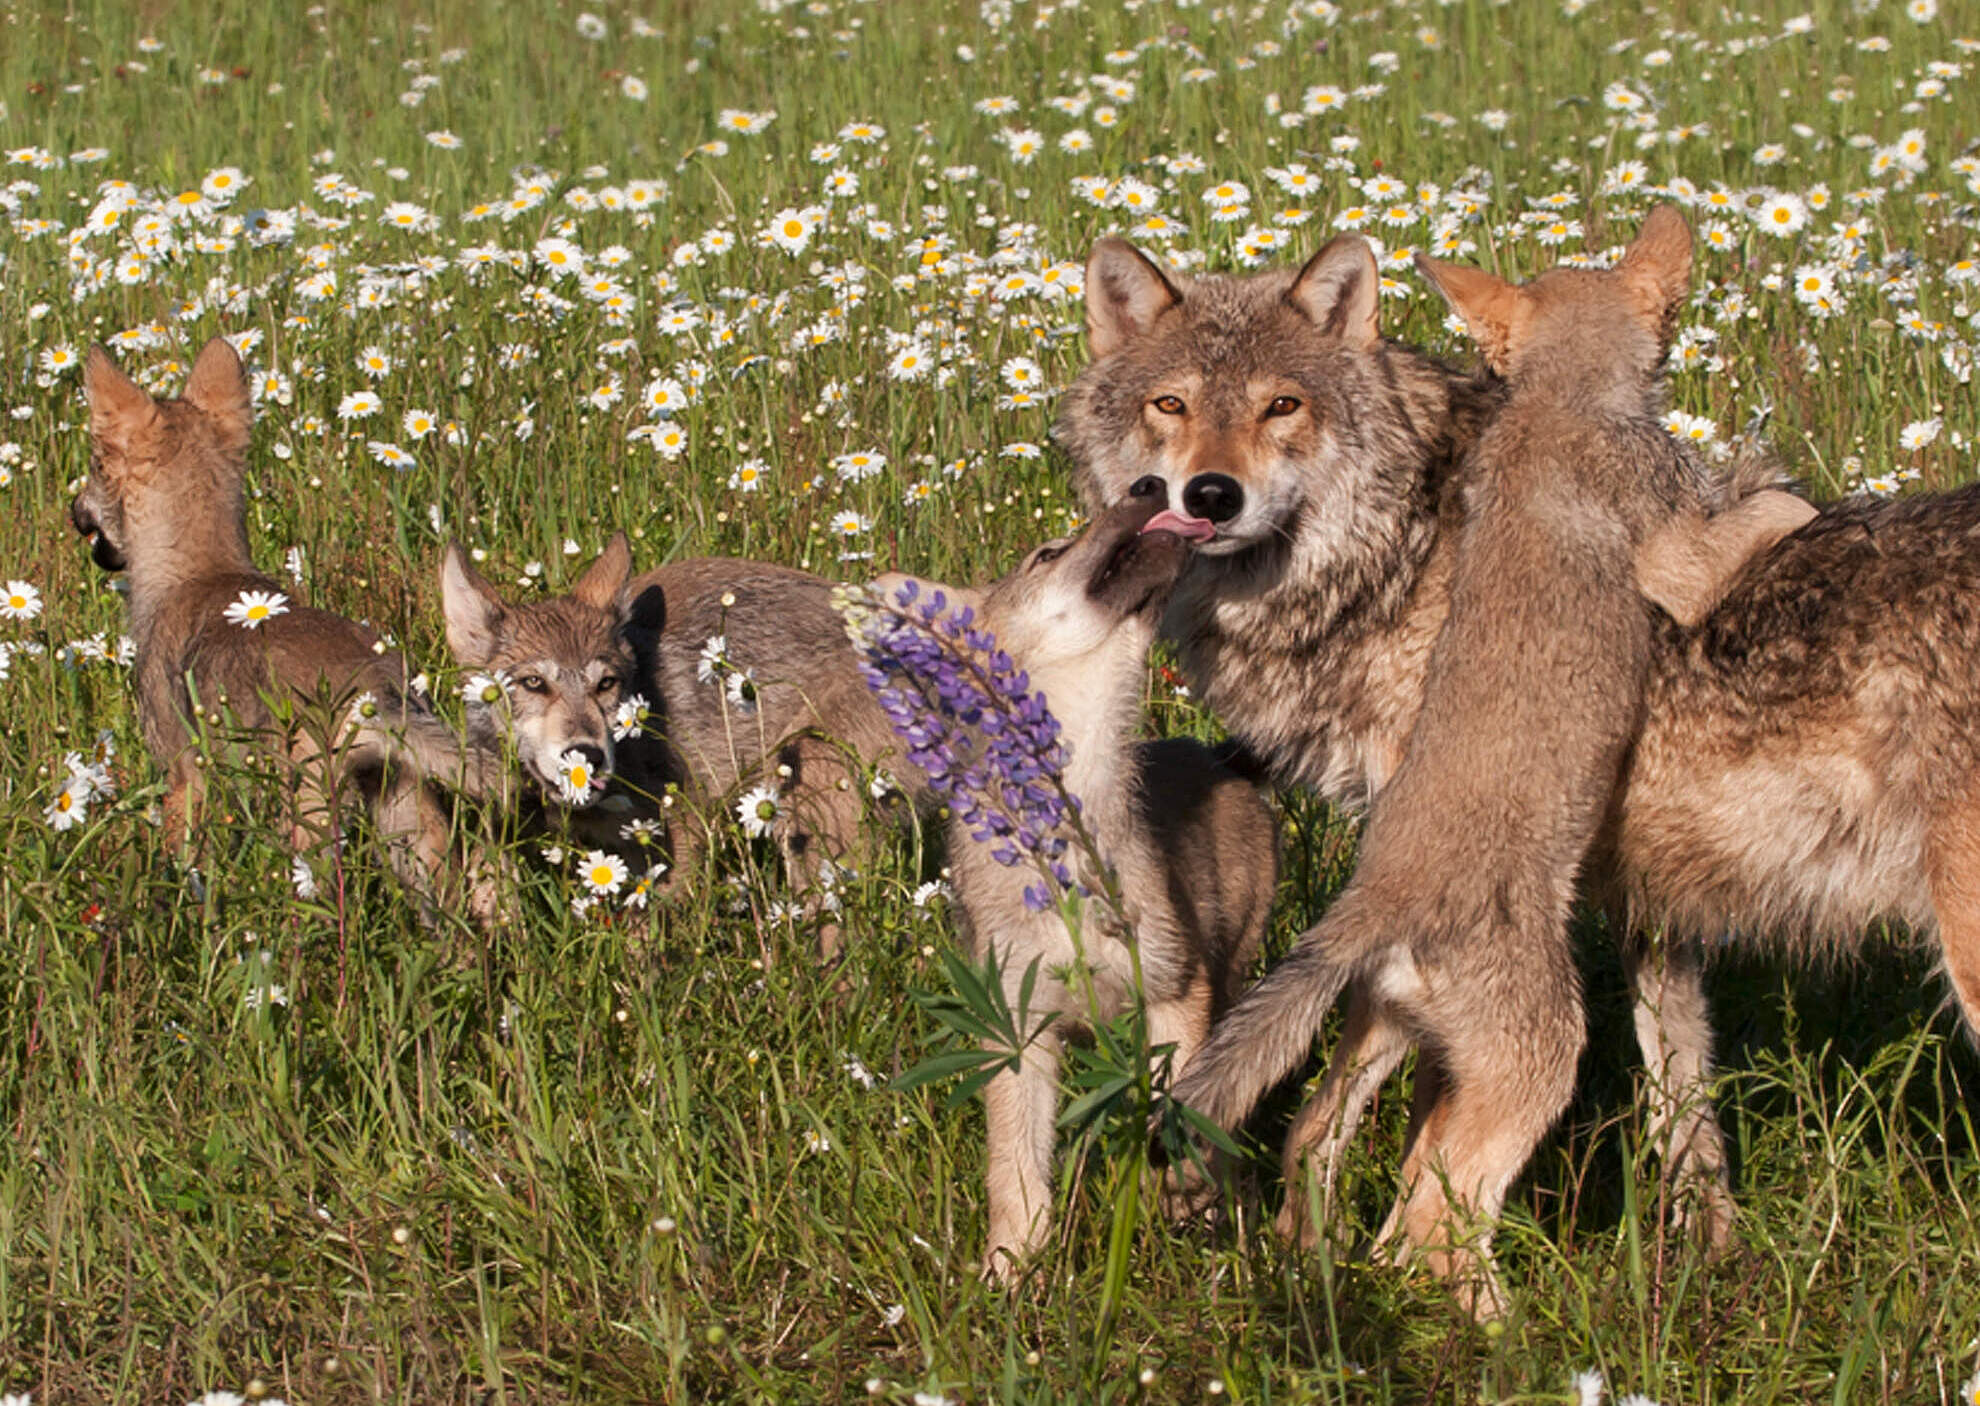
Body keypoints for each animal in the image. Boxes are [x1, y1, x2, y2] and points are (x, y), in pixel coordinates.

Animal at [74, 338, 506, 922]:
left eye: (95, 465)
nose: (74, 513)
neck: (197, 572)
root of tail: (371, 691)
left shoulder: (185, 779)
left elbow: (184, 869)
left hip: (309, 829)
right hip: (409, 823)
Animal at [866, 496, 1278, 1281]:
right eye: (1049, 553)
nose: (1148, 485)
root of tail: (1217, 756)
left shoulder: (1177, 993)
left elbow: (1179, 1114)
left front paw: (1176, 1207)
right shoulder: (1015, 1034)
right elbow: (1016, 1174)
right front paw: (1011, 1272)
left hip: (1230, 975)